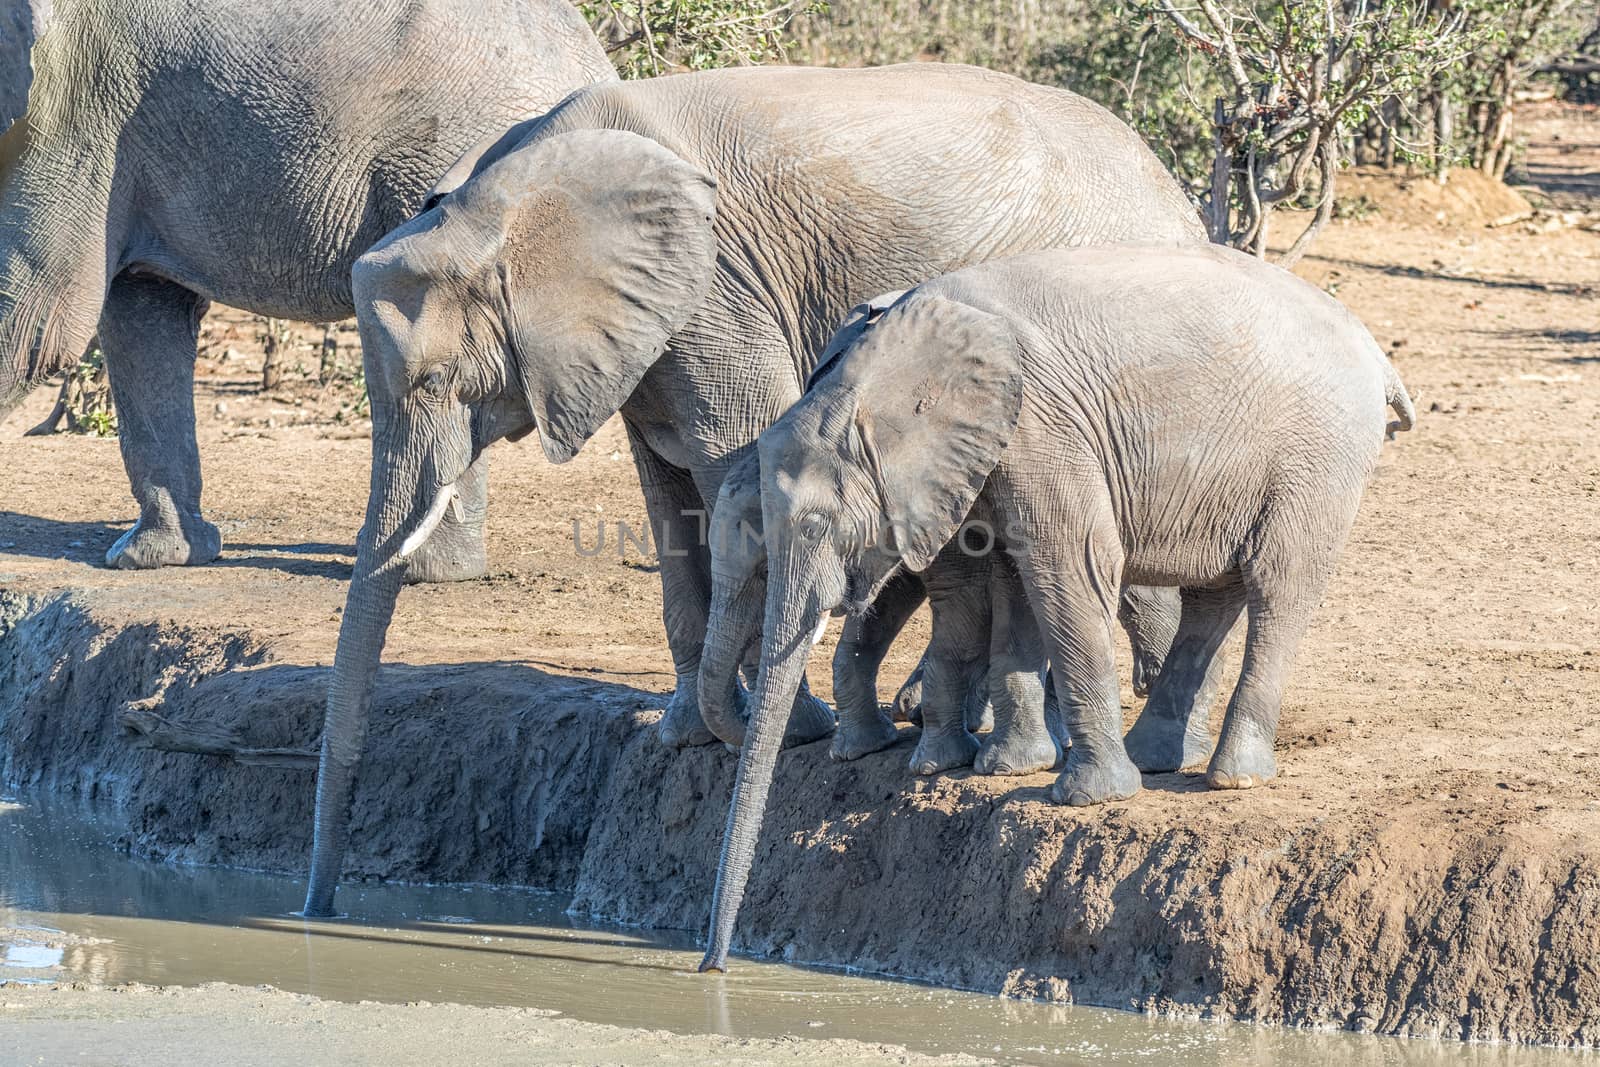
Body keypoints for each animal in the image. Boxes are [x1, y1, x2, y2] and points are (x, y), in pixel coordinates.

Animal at [0, 0, 614, 579]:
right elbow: (141, 312)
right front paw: (151, 559)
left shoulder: (70, 114)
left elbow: (38, 327)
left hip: (457, 162)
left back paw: (418, 570)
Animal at [300, 62, 1203, 921]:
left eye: (436, 379)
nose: (321, 908)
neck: (500, 193)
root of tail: (1174, 192)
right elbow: (665, 497)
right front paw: (685, 737)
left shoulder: (717, 298)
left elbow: (729, 453)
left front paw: (790, 733)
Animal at [700, 244, 1414, 979]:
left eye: (817, 525)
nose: (713, 969)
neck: (877, 373)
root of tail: (1377, 355)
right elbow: (1013, 577)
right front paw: (1007, 769)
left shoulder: (1042, 429)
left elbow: (1069, 563)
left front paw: (1085, 797)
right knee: (1215, 595)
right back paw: (1156, 757)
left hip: (1319, 459)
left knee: (1278, 586)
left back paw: (1230, 778)